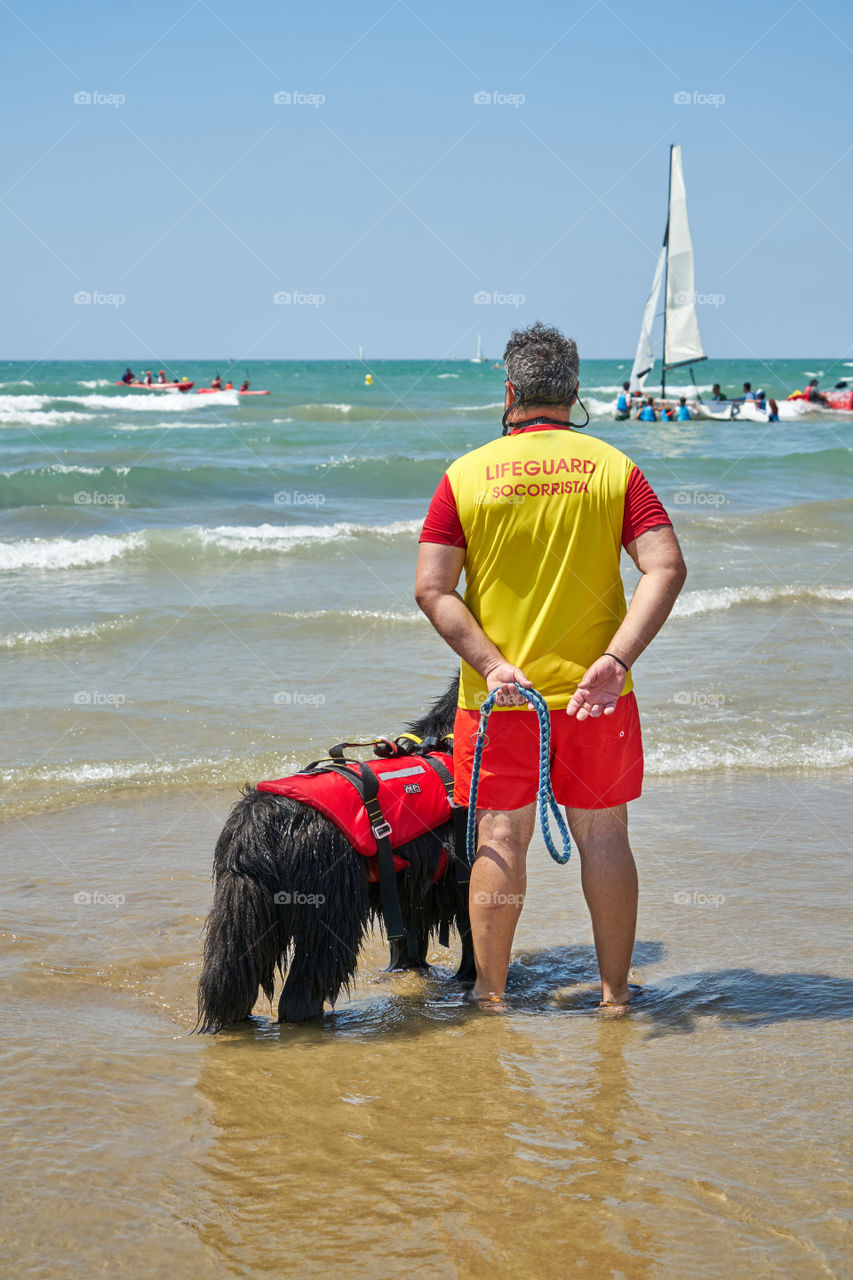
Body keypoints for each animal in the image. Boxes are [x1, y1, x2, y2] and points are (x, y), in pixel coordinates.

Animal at [195, 680, 471, 1029]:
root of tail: (260, 818)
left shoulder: (408, 888)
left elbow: (408, 944)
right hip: (333, 915)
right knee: (301, 993)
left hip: (243, 917)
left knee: (234, 986)